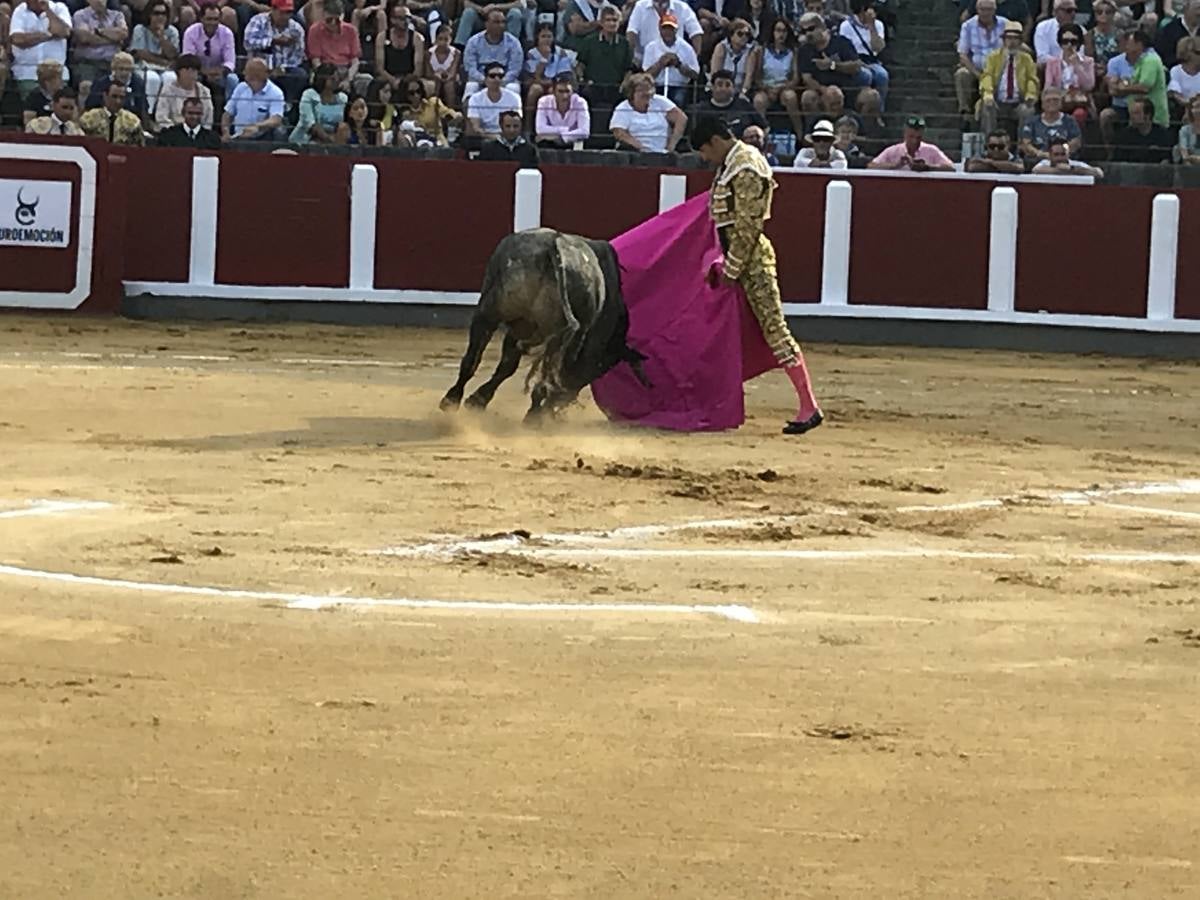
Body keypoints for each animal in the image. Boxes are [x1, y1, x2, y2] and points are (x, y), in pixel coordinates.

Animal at [439, 226, 648, 422]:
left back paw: (452, 400)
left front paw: (478, 400)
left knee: (472, 359)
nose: (564, 401)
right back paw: (532, 416)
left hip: (490, 313)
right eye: (595, 370)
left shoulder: (522, 328)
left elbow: (508, 365)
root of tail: (556, 246)